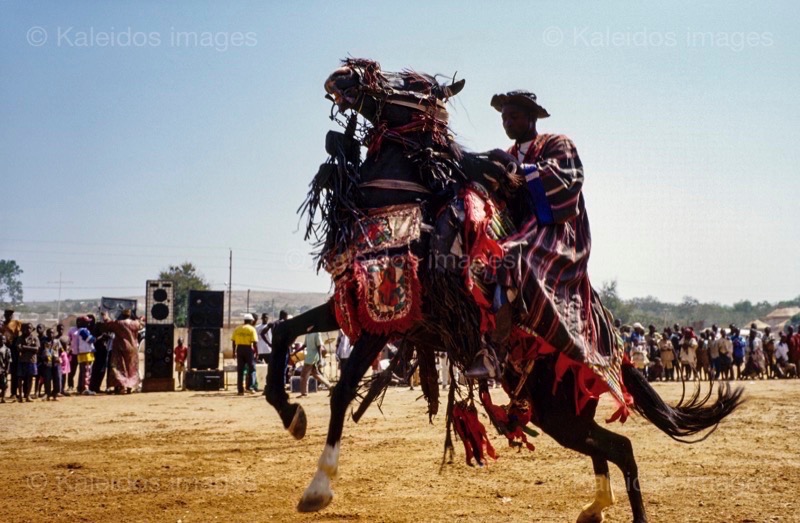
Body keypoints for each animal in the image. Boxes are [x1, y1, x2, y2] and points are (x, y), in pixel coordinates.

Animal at [264, 59, 744, 520]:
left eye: (412, 85)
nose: (343, 74)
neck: (401, 207)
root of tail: (614, 356)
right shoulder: (355, 307)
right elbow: (284, 333)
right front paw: (290, 413)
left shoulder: (388, 316)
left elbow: (342, 390)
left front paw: (319, 486)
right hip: (560, 413)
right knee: (609, 448)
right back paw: (595, 507)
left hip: (557, 412)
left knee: (621, 450)